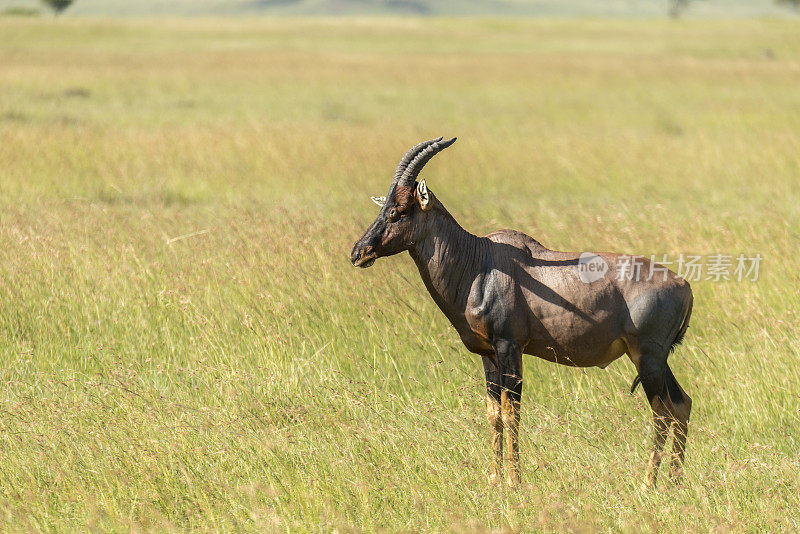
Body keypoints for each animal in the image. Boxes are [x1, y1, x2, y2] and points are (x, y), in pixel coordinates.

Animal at [350, 138, 692, 490]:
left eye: (398, 210)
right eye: (383, 207)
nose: (358, 253)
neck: (480, 262)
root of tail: (684, 285)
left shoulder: (509, 346)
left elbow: (512, 411)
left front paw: (514, 481)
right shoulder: (488, 354)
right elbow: (494, 413)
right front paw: (493, 479)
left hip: (647, 357)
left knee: (662, 411)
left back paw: (649, 483)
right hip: (656, 359)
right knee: (681, 404)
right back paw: (675, 481)